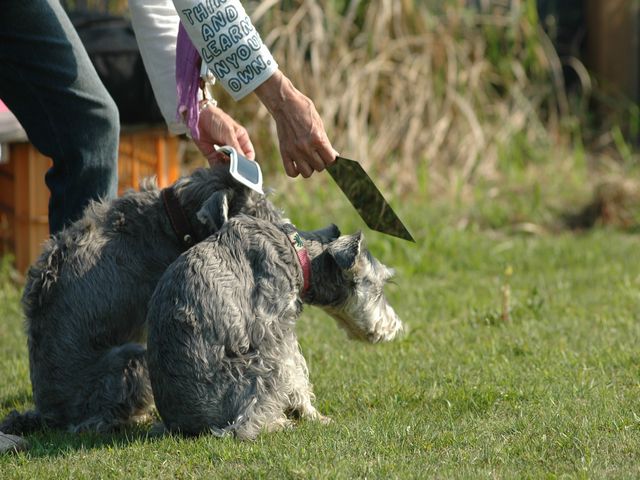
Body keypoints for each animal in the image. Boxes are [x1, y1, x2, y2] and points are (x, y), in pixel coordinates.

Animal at [146, 206, 404, 440]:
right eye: (380, 285)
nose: (396, 327)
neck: (297, 255)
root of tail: (180, 426)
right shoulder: (275, 331)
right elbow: (296, 373)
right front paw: (313, 415)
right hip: (260, 367)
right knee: (239, 427)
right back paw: (277, 423)